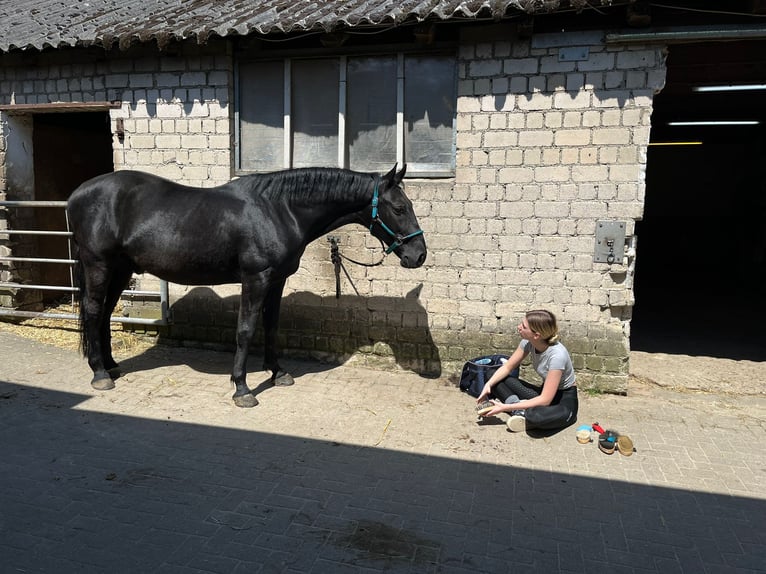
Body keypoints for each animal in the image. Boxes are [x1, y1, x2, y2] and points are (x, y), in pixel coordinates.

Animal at [67, 164, 426, 407]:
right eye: (399, 207)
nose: (418, 254)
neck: (279, 209)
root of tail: (77, 194)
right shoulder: (256, 278)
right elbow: (246, 329)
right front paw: (242, 388)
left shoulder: (277, 280)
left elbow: (271, 325)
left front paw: (277, 372)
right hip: (99, 265)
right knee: (94, 311)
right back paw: (100, 374)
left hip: (121, 269)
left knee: (105, 314)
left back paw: (111, 366)